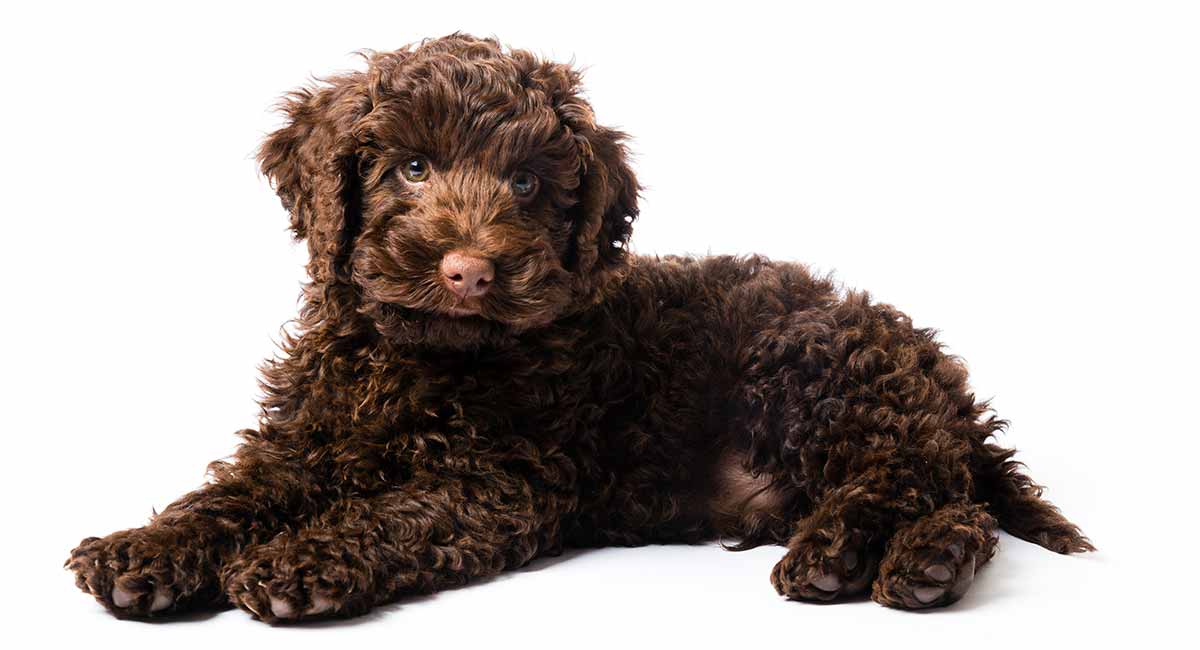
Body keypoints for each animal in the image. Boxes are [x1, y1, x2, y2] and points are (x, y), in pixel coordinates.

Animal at [68, 33, 1099, 623]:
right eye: (410, 166)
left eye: (526, 182)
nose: (470, 269)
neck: (418, 357)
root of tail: (923, 354)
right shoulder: (305, 440)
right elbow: (231, 491)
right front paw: (145, 551)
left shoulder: (500, 482)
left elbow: (396, 512)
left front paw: (303, 559)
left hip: (811, 366)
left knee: (925, 487)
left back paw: (881, 561)